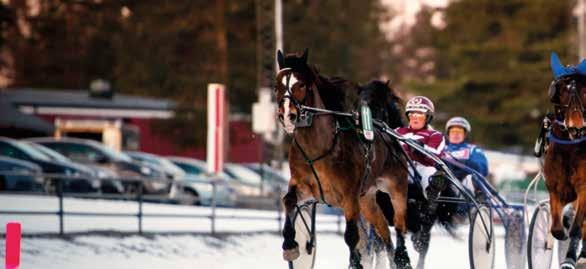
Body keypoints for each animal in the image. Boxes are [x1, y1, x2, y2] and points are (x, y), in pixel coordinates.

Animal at [274, 49, 408, 266]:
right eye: (277, 85)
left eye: (300, 84)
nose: (287, 115)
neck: (319, 150)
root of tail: (388, 134)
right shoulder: (302, 184)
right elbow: (288, 200)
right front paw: (290, 245)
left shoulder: (349, 196)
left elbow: (351, 236)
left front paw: (356, 262)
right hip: (367, 198)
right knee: (384, 232)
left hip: (396, 187)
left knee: (399, 224)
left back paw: (402, 257)